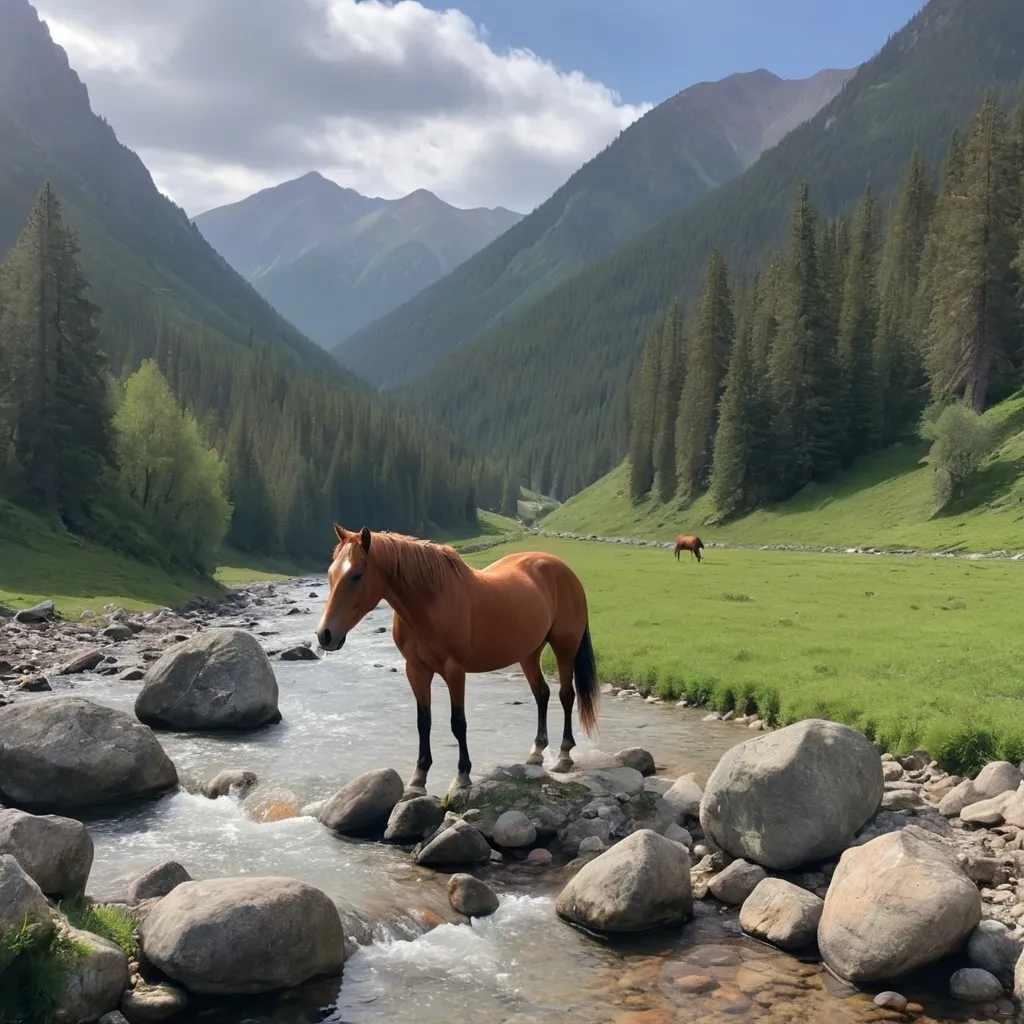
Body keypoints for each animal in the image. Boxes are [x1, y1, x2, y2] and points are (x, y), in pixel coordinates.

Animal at [313, 528, 598, 798]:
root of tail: (562, 569)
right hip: (528, 653)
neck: (430, 603)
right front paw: (418, 779)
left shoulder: (454, 670)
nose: (325, 635)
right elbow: (423, 722)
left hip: (565, 648)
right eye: (330, 574)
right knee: (542, 694)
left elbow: (458, 723)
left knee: (565, 695)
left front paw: (462, 775)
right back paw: (537, 751)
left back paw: (563, 755)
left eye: (357, 575)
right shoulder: (416, 670)